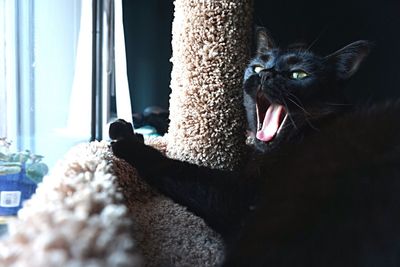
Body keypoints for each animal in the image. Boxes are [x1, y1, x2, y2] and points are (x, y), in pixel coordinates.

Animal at [109, 28, 400, 266]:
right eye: (259, 67)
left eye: (299, 74)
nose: (267, 75)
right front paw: (144, 119)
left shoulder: (240, 196)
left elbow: (176, 168)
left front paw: (126, 138)